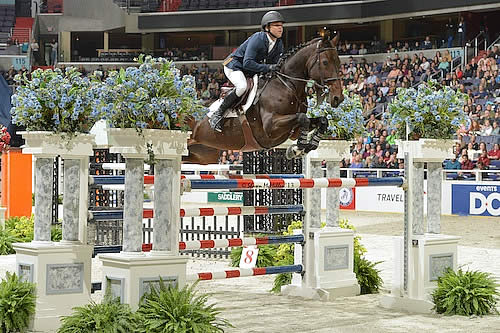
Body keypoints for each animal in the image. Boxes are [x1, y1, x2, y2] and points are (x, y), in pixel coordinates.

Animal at [184, 33, 344, 164]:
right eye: (325, 62)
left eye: (339, 62)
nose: (338, 98)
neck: (288, 86)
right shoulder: (270, 127)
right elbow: (302, 117)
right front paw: (297, 149)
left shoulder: (292, 130)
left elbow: (321, 121)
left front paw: (307, 146)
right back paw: (215, 119)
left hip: (205, 155)